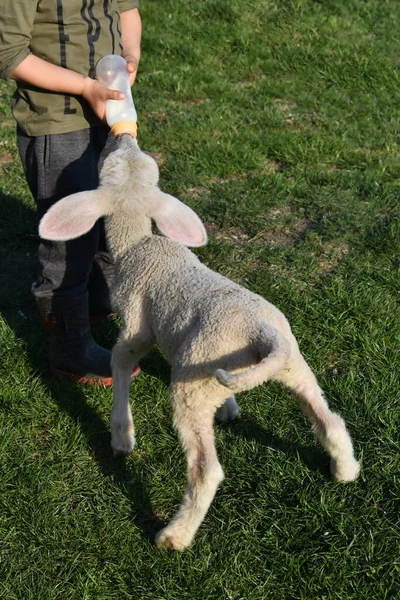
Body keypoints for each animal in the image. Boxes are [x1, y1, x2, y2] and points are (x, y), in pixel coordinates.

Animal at [39, 134, 360, 552]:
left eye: (108, 161)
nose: (121, 136)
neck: (138, 244)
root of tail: (261, 333)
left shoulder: (136, 328)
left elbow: (122, 364)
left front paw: (122, 437)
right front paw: (229, 409)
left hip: (193, 384)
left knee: (206, 469)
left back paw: (174, 535)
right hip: (288, 363)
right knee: (330, 421)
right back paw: (346, 470)